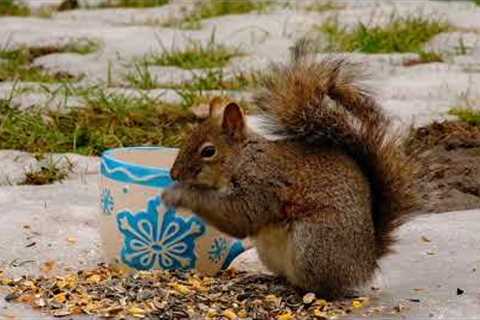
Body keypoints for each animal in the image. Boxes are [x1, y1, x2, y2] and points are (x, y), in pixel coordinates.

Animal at [161, 40, 416, 300]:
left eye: (208, 151)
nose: (174, 174)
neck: (244, 159)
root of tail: (367, 262)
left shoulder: (263, 185)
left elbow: (238, 217)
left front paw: (179, 194)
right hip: (271, 251)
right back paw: (267, 278)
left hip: (314, 245)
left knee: (326, 286)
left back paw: (302, 290)